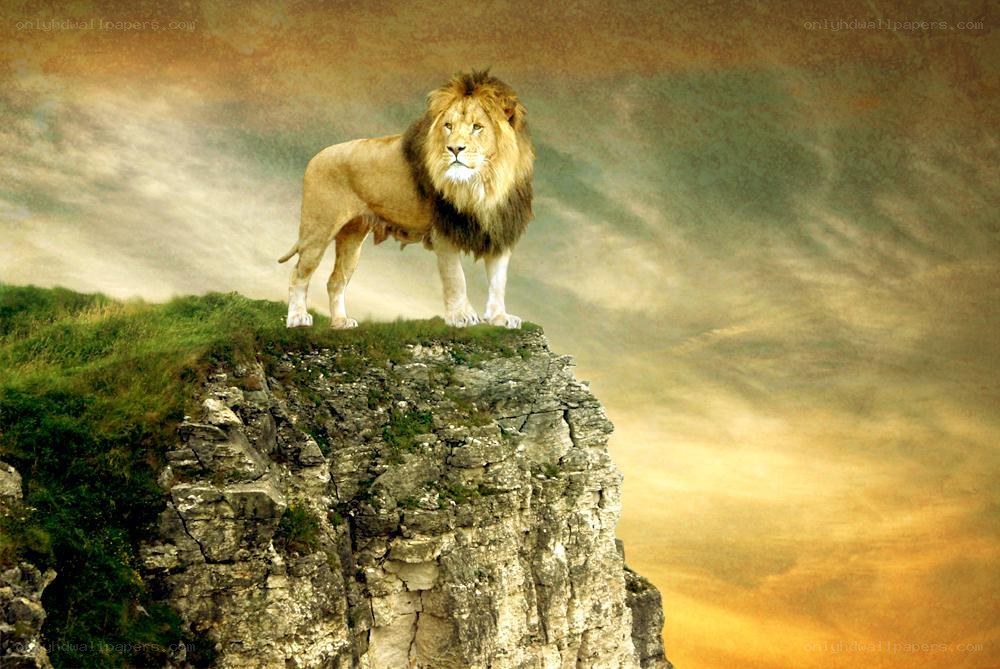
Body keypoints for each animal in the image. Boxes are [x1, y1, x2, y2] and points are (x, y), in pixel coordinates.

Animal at [278, 70, 534, 330]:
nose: (454, 149)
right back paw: (298, 318)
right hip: (317, 231)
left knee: (336, 280)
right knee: (298, 274)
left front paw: (499, 318)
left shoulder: (500, 230)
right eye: (448, 126)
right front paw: (461, 316)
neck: (484, 183)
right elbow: (456, 278)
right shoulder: (443, 233)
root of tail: (315, 156)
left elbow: (498, 283)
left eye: (477, 127)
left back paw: (340, 323)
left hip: (352, 238)